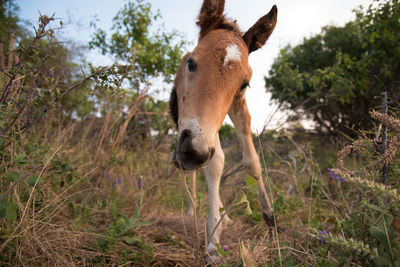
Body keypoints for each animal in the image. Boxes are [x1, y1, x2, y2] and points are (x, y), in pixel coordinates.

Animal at [170, 0, 278, 260]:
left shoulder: (237, 104)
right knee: (198, 168)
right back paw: (194, 208)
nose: (193, 152)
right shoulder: (195, 128)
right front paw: (212, 242)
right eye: (191, 63)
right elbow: (215, 162)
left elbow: (251, 160)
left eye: (244, 83)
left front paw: (269, 218)